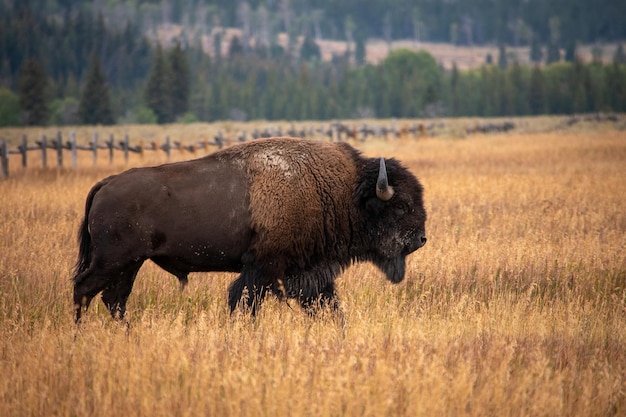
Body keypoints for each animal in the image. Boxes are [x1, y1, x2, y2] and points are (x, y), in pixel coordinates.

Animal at [72, 136, 424, 322]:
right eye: (401, 205)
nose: (421, 239)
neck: (340, 191)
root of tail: (105, 184)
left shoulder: (309, 273)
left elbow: (328, 305)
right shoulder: (263, 268)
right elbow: (244, 302)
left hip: (130, 264)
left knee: (114, 299)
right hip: (113, 260)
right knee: (85, 289)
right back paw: (79, 337)